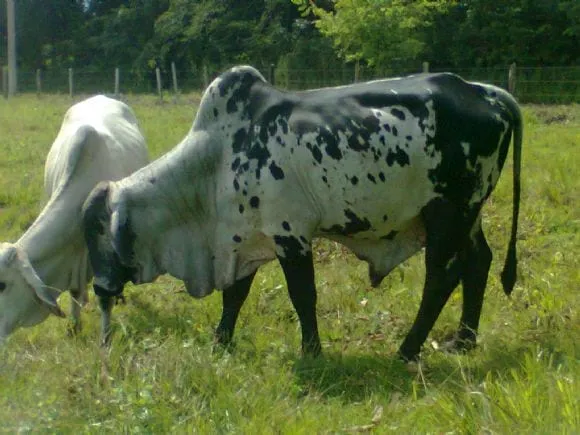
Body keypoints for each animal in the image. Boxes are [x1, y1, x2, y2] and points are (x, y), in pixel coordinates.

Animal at [84, 65, 524, 362]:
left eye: (98, 234)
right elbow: (234, 296)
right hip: (470, 215)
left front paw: (311, 351)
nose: (100, 290)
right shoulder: (241, 238)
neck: (214, 160)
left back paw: (408, 349)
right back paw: (462, 341)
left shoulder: (290, 235)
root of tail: (485, 92)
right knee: (478, 263)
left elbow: (302, 296)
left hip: (448, 213)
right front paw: (220, 340)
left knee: (442, 278)